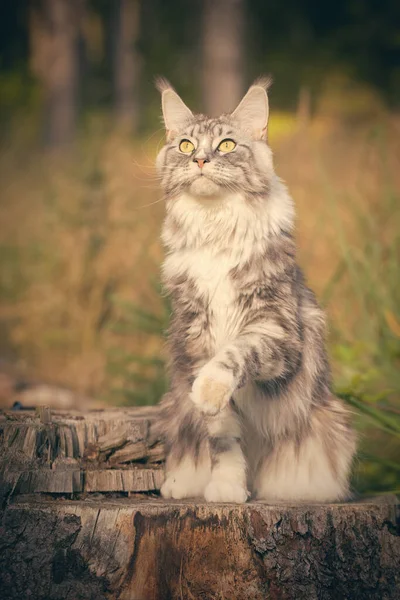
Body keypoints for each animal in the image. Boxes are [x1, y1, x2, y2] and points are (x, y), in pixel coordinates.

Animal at [154, 77, 356, 504]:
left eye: (227, 145)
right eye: (186, 146)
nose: (200, 161)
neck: (214, 227)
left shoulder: (275, 328)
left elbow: (236, 353)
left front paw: (208, 389)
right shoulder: (196, 334)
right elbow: (223, 437)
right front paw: (228, 488)